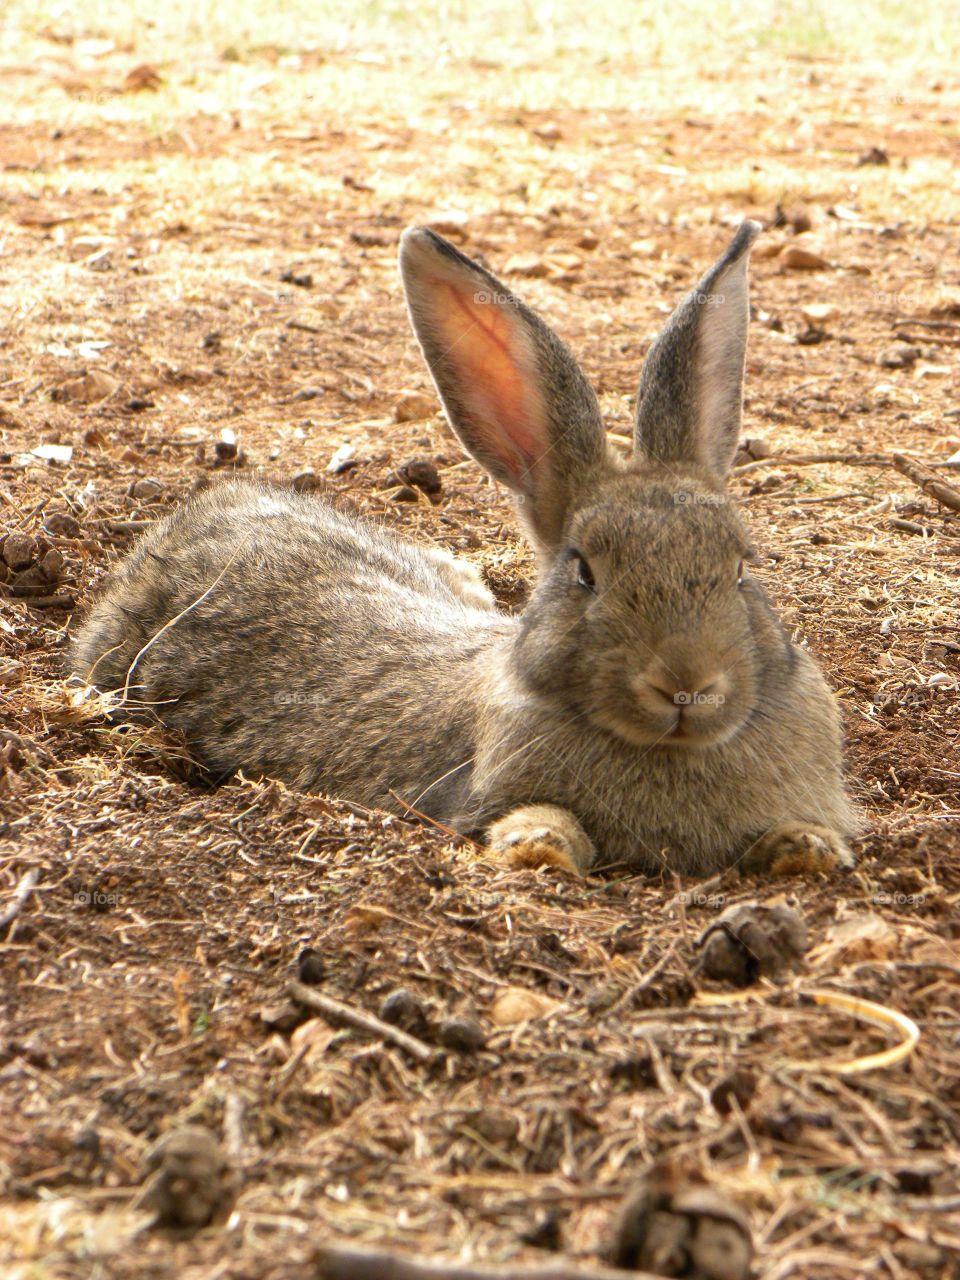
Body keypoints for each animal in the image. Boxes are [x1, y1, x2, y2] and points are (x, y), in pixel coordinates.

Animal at [69, 222, 865, 880]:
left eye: (741, 567)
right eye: (584, 571)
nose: (687, 684)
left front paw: (806, 848)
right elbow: (539, 823)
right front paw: (540, 843)